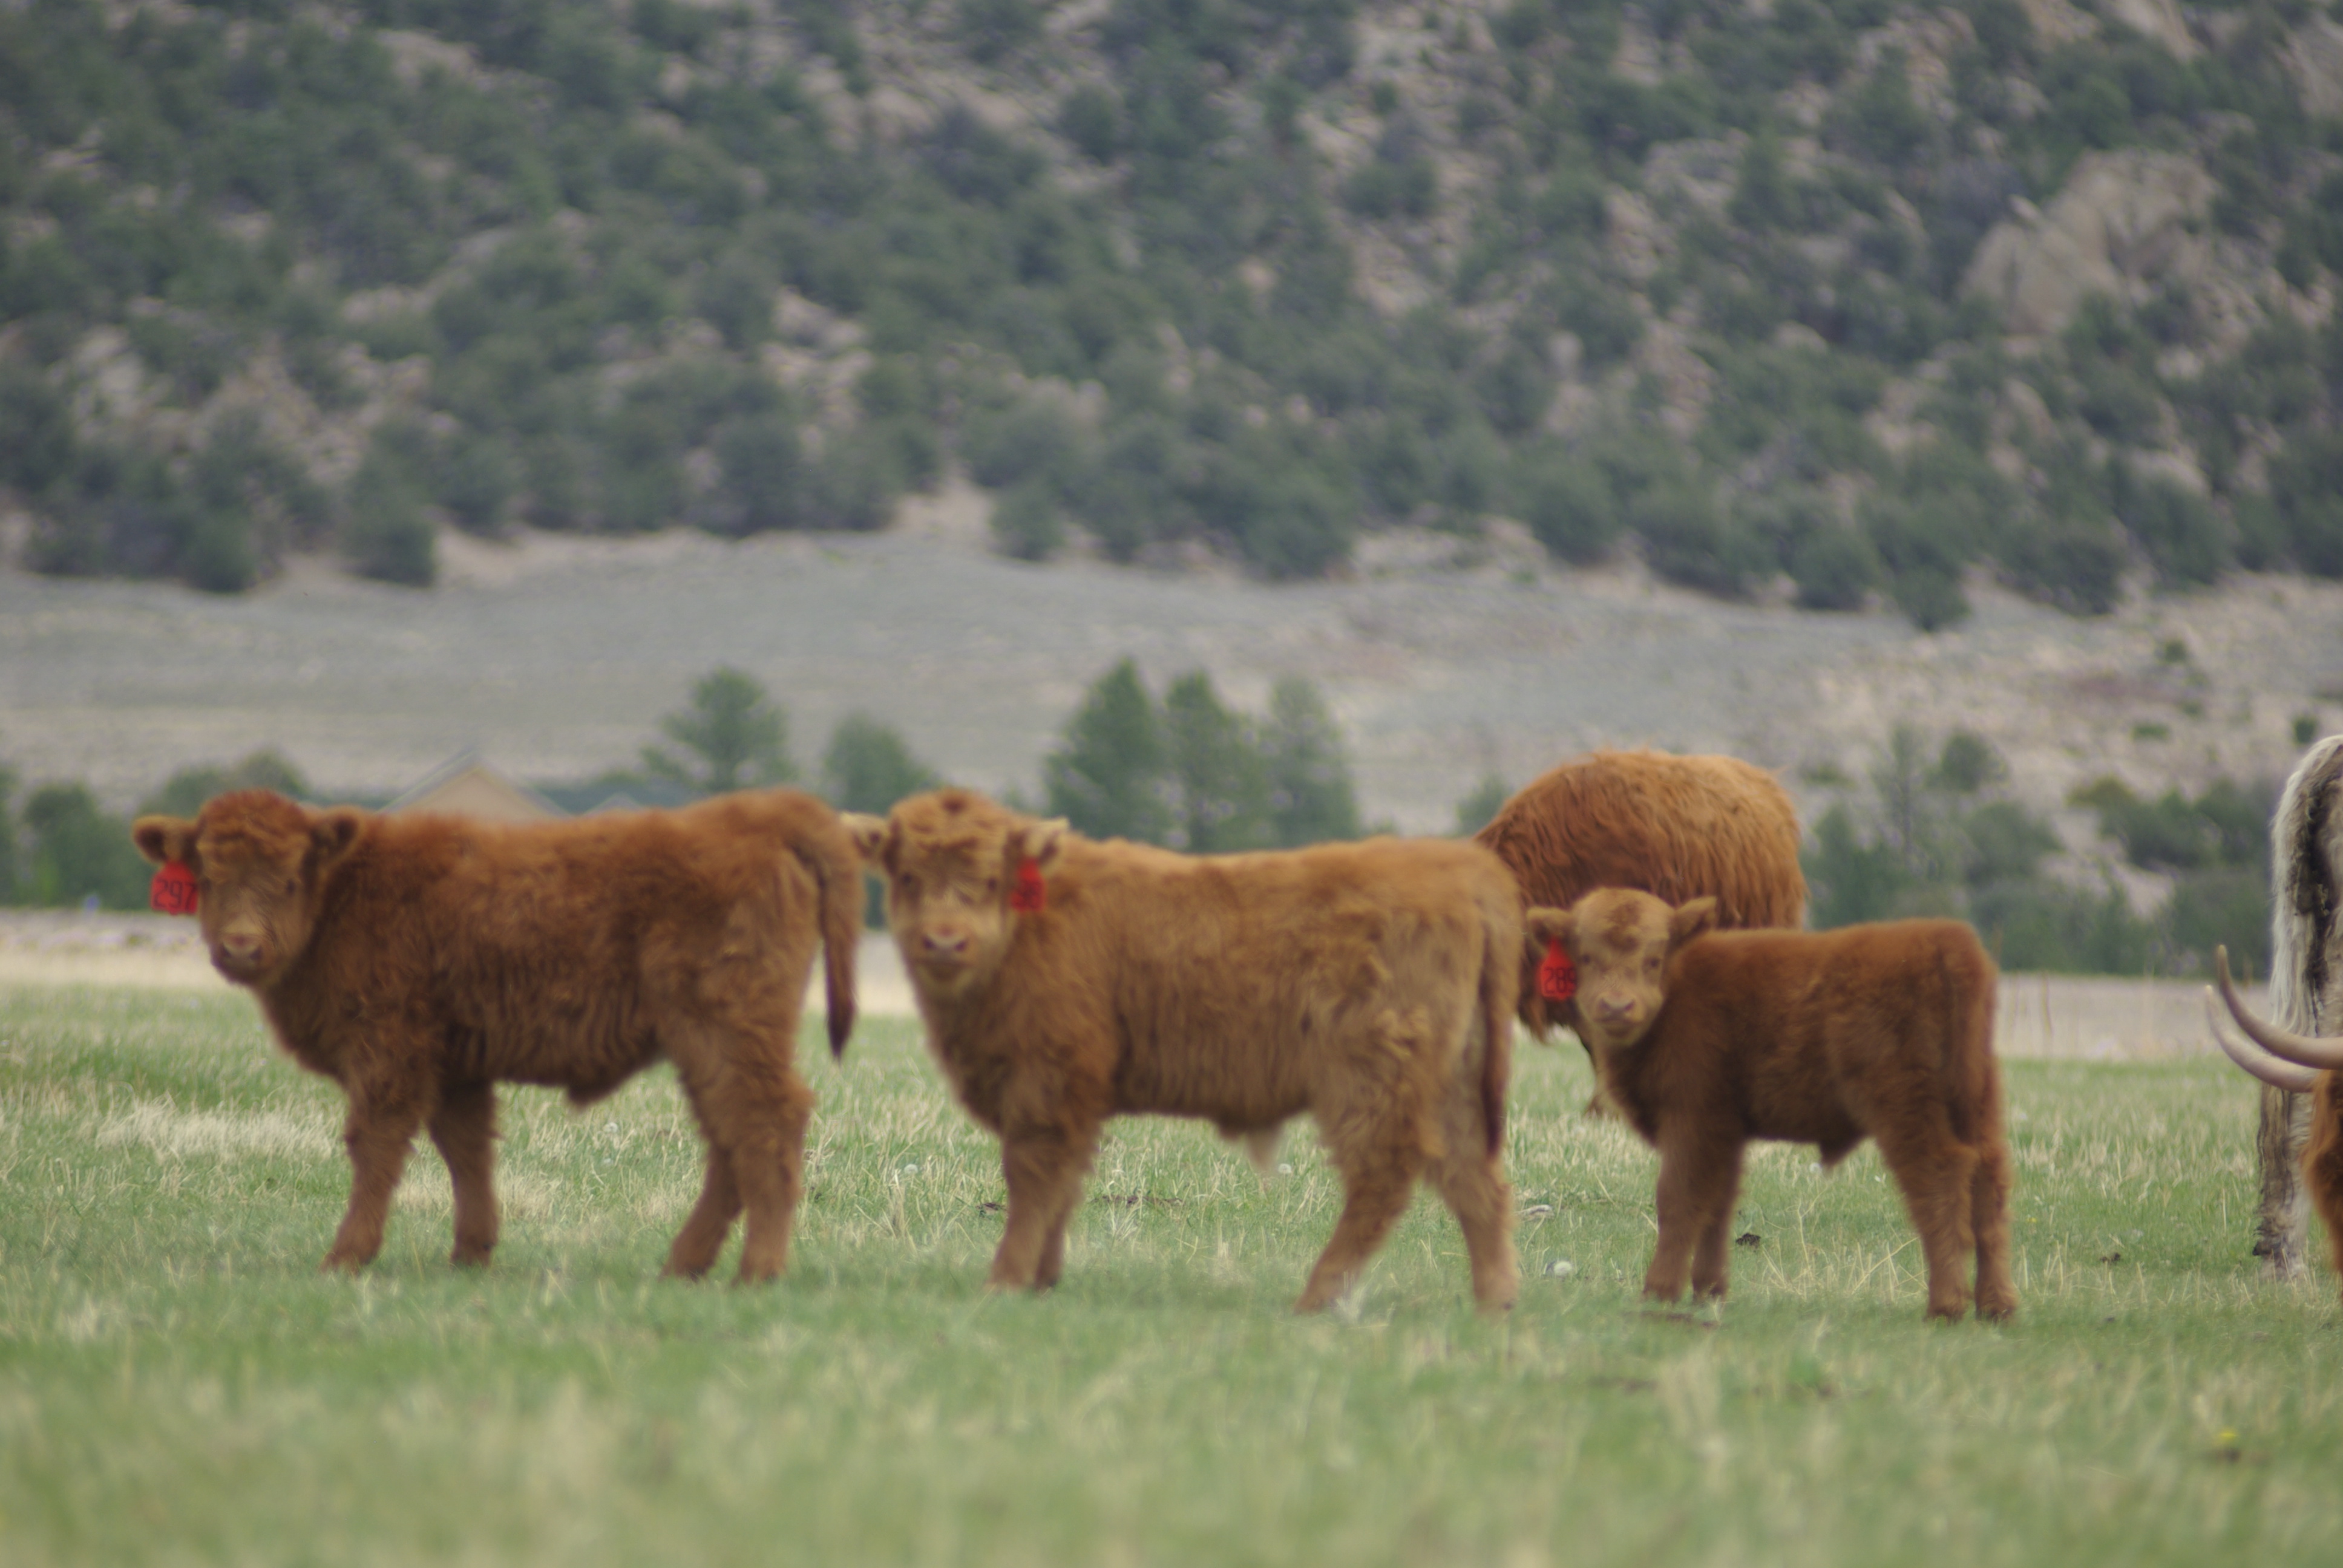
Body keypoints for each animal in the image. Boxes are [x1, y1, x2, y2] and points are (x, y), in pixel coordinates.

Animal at [130, 788, 860, 1282]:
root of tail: (758, 813)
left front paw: (346, 1255)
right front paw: (471, 1253)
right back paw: (684, 1265)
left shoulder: (390, 1050)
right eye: (208, 877)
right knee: (729, 1138)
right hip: (706, 1045)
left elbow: (375, 1144)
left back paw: (756, 1271)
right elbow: (467, 1150)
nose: (240, 947)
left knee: (764, 1122)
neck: (350, 889)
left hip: (724, 1030)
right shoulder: (456, 1066)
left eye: (288, 877)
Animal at [844, 788, 1520, 1314]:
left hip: (1368, 1085)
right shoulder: (1069, 1099)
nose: (943, 942)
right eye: (907, 876)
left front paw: (1006, 1281)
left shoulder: (1047, 1087)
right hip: (1452, 1087)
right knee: (1476, 1181)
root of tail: (1460, 874)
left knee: (1387, 1179)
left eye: (991, 880)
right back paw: (1493, 1303)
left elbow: (1033, 1181)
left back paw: (1314, 1298)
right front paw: (1042, 1279)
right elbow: (1062, 1185)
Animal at [1523, 889, 2016, 1321]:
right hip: (1977, 1105)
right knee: (1989, 1186)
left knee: (1940, 1178)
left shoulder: (1693, 1118)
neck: (1679, 990)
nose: (1616, 1006)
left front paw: (1659, 1291)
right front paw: (1709, 1291)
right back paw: (1996, 1307)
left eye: (1654, 957)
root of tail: (1942, 939)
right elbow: (1717, 1204)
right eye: (1586, 956)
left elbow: (1678, 1198)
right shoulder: (1723, 1131)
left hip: (1906, 1108)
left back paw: (1946, 1305)